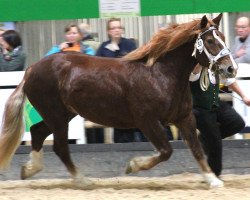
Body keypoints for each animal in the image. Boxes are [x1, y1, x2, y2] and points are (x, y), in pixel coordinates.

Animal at [0, 14, 237, 188]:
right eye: (209, 41)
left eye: (224, 37)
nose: (230, 69)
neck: (162, 75)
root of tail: (31, 69)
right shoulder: (147, 121)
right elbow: (165, 151)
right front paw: (133, 166)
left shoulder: (185, 118)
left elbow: (196, 148)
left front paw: (213, 180)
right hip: (56, 116)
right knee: (59, 146)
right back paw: (82, 180)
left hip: (62, 114)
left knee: (38, 132)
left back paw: (29, 170)